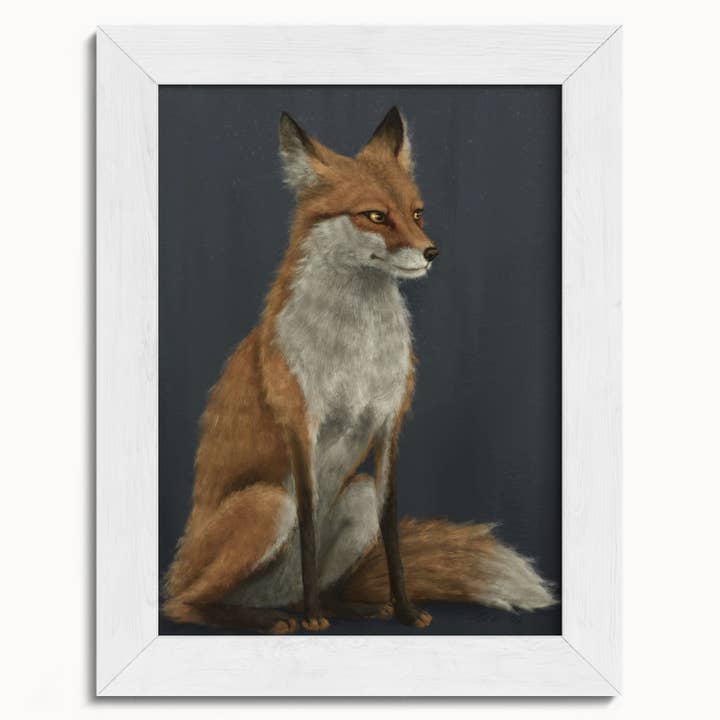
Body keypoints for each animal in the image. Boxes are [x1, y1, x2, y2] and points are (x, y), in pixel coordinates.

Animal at [162, 107, 555, 634]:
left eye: (417, 213)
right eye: (375, 216)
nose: (432, 252)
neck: (358, 350)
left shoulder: (389, 425)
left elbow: (392, 534)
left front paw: (404, 610)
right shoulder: (301, 426)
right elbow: (308, 526)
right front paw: (314, 620)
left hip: (357, 495)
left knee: (317, 584)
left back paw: (350, 606)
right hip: (267, 504)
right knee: (183, 605)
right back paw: (272, 617)